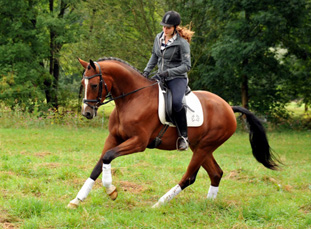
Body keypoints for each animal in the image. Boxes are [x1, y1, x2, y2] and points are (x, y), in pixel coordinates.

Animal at [67, 57, 280, 209]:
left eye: (94, 85)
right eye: (83, 84)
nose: (86, 113)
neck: (132, 99)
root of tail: (228, 107)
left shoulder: (139, 142)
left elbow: (108, 156)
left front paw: (111, 190)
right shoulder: (114, 138)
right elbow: (100, 163)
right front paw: (77, 199)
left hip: (204, 147)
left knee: (190, 177)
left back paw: (158, 204)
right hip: (200, 146)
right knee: (216, 173)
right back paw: (208, 205)